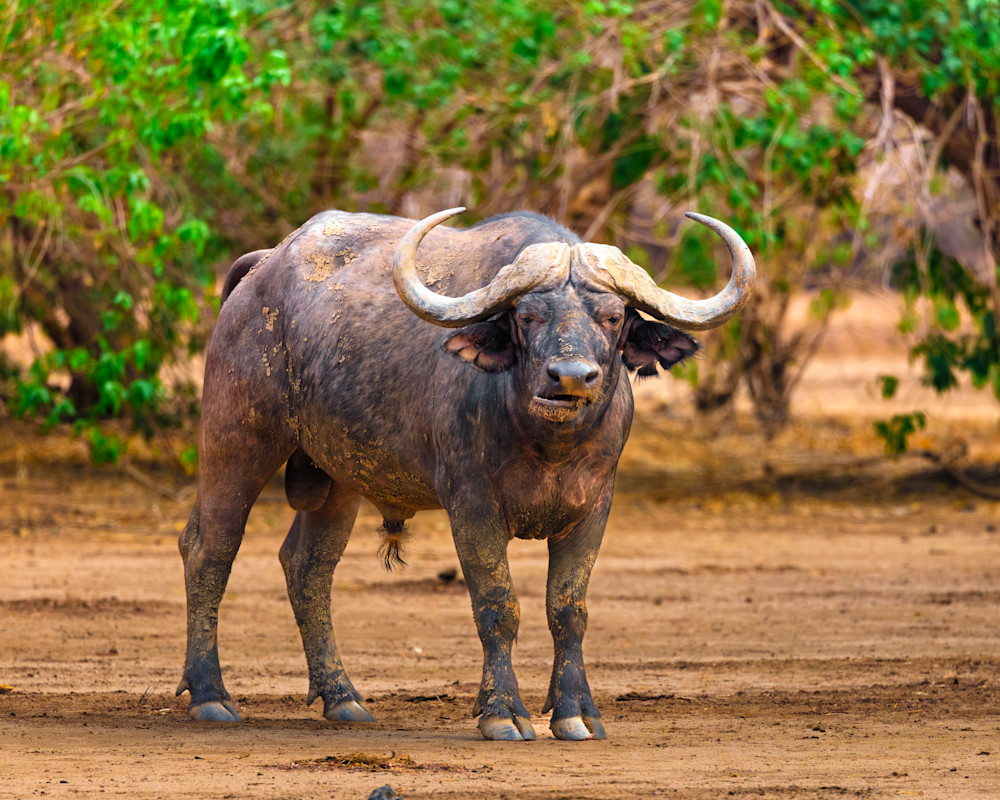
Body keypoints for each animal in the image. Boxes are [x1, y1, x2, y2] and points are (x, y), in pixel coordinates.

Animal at [176, 206, 755, 740]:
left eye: (613, 317)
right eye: (528, 316)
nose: (570, 377)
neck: (548, 445)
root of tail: (262, 270)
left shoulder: (593, 510)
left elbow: (568, 609)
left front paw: (575, 713)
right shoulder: (472, 506)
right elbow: (498, 605)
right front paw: (502, 713)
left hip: (338, 476)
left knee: (308, 567)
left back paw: (342, 697)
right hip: (237, 440)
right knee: (210, 548)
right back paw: (210, 696)